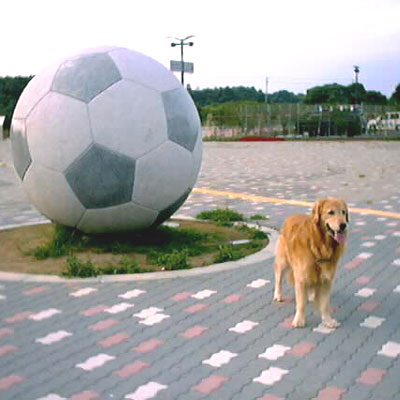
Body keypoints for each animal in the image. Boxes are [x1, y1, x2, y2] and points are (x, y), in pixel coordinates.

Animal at [273, 198, 349, 328]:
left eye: (343, 212)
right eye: (331, 212)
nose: (343, 225)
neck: (321, 245)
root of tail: (291, 216)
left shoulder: (327, 279)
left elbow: (324, 304)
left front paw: (327, 321)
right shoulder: (301, 277)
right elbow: (301, 303)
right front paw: (299, 320)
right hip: (283, 261)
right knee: (278, 277)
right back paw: (278, 295)